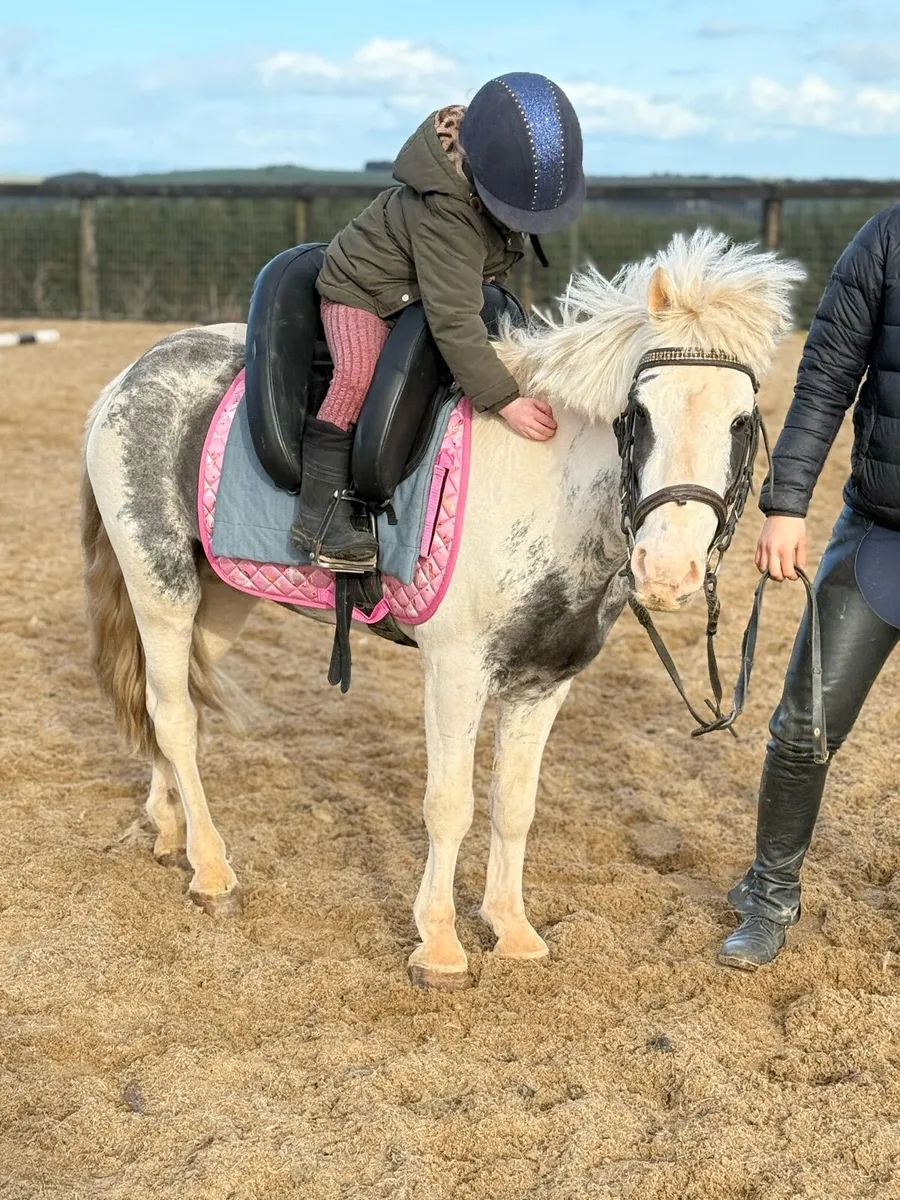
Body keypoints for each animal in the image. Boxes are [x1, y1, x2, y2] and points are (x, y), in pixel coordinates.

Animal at [81, 230, 803, 988]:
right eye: (637, 416)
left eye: (742, 423)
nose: (667, 570)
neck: (548, 489)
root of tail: (132, 375)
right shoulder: (456, 671)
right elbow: (449, 805)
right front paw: (440, 945)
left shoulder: (545, 683)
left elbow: (513, 805)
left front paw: (512, 930)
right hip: (161, 585)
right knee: (174, 716)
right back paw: (212, 870)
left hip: (221, 598)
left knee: (173, 698)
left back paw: (169, 828)